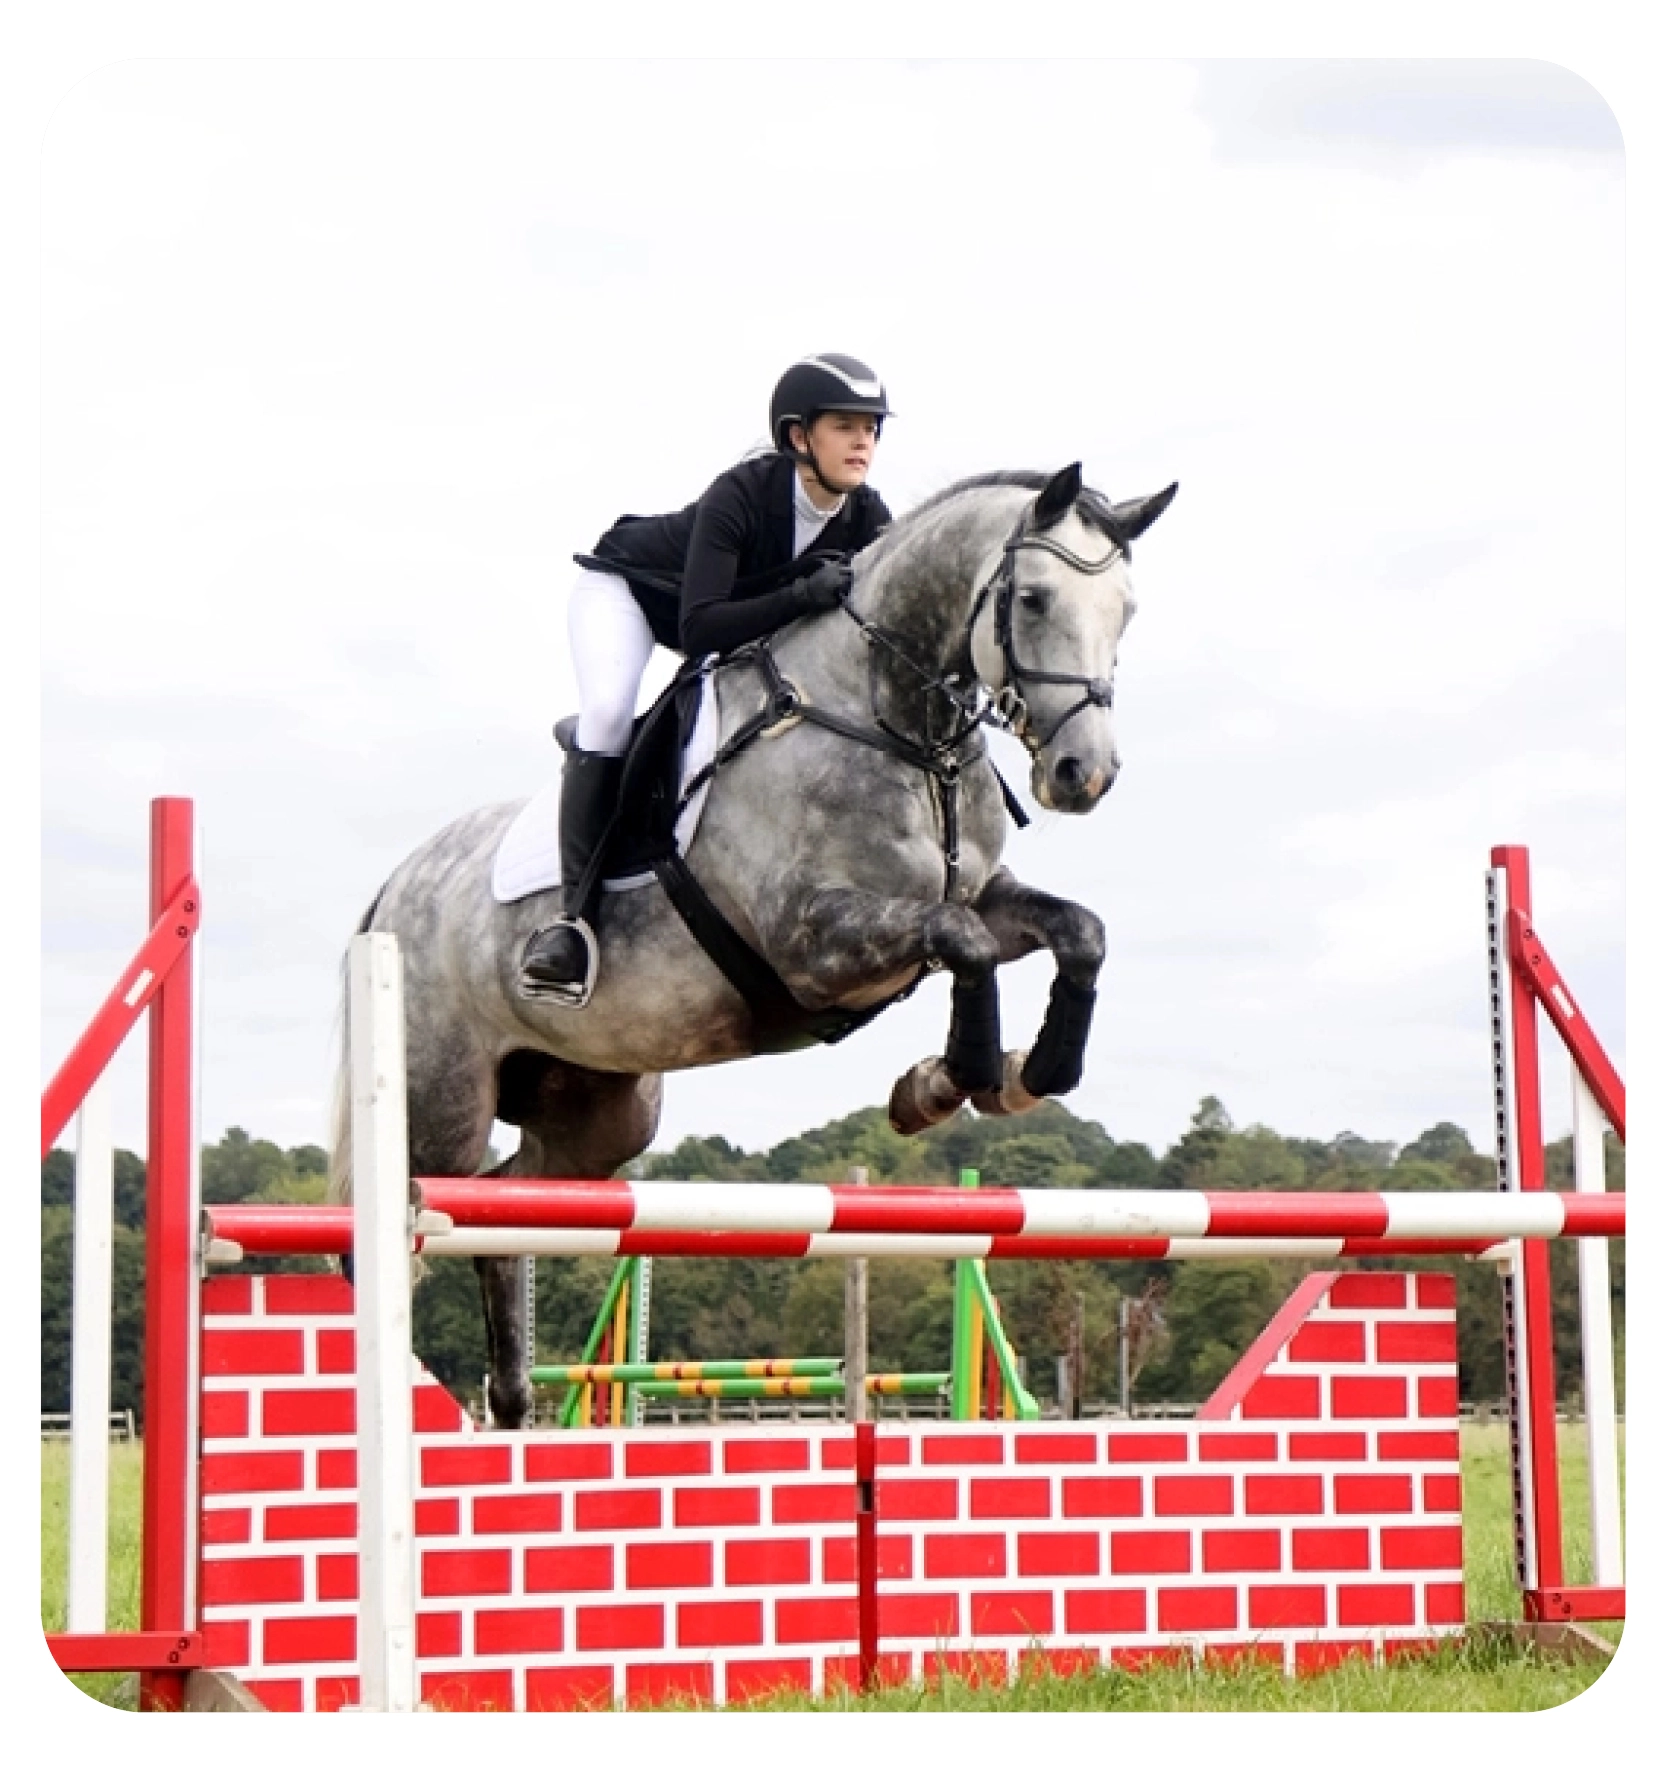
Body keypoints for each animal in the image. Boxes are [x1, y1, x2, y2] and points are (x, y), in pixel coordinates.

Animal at [331, 460, 1176, 1423]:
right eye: (1032, 598)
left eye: (1125, 610)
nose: (1084, 775)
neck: (892, 724)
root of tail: (392, 888)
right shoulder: (811, 940)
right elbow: (959, 940)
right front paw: (950, 1078)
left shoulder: (981, 900)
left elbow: (1076, 931)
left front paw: (1022, 1074)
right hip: (436, 1108)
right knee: (399, 1232)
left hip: (599, 1114)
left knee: (502, 1210)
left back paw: (509, 1407)